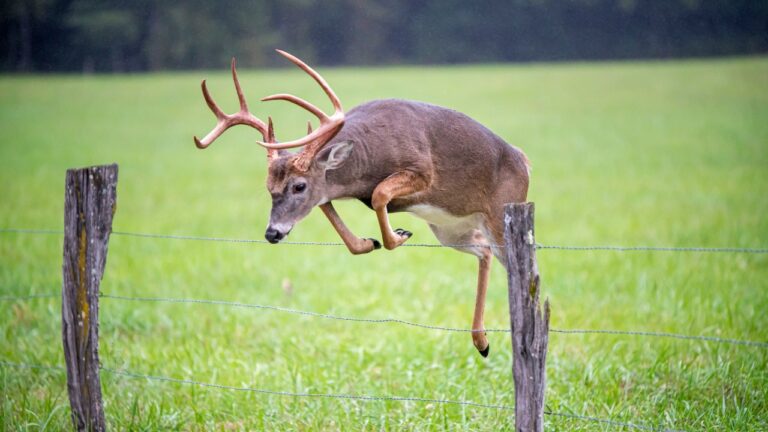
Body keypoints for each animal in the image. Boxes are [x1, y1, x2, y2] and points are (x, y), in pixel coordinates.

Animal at [194, 50, 530, 357]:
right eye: (268, 188)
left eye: (299, 185)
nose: (272, 233)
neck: (366, 163)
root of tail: (523, 160)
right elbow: (327, 205)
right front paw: (369, 243)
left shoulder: (423, 171)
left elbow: (380, 193)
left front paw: (398, 236)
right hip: (449, 229)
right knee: (483, 250)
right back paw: (482, 341)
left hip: (500, 215)